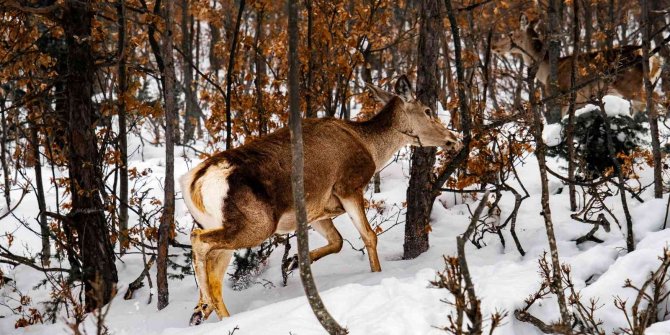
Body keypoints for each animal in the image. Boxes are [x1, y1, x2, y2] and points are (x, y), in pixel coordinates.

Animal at [181, 75, 464, 326]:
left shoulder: (315, 210)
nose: (455, 138)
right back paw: (206, 306)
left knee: (215, 275)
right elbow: (369, 236)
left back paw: (204, 310)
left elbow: (337, 241)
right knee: (198, 241)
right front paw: (376, 275)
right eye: (428, 110)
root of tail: (195, 182)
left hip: (225, 225)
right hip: (257, 223)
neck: (370, 147)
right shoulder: (349, 184)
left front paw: (295, 261)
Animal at [490, 14, 664, 118]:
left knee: (653, 99)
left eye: (511, 34)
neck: (545, 71)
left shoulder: (562, 94)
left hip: (629, 83)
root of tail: (654, 58)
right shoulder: (581, 100)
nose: (493, 46)